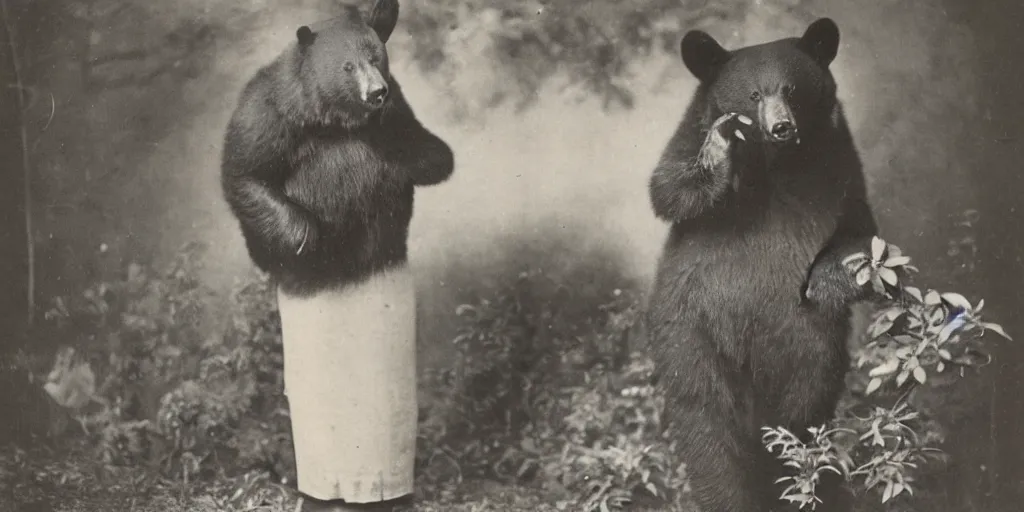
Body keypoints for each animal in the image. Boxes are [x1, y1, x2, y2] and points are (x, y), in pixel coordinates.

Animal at [222, 0, 454, 296]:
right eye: (348, 66)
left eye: (375, 58)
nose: (376, 92)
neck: (332, 118)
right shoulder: (270, 113)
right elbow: (247, 172)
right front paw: (303, 238)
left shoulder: (399, 107)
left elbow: (433, 156)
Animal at [647, 18, 872, 509]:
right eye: (752, 95)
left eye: (791, 89)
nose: (781, 126)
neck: (775, 162)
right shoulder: (688, 140)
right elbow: (670, 187)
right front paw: (720, 148)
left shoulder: (842, 162)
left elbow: (859, 232)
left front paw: (822, 282)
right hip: (690, 335)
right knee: (705, 419)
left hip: (809, 344)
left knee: (804, 403)